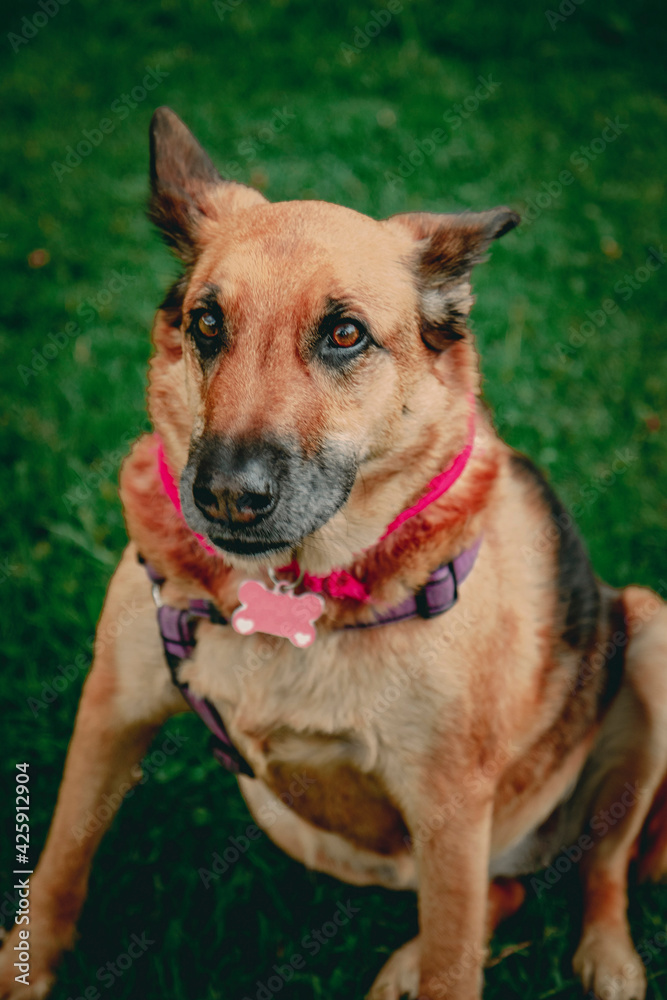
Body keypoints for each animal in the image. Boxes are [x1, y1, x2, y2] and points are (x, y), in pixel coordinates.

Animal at [1, 105, 667, 996]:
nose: (226, 495)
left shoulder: (450, 810)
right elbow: (58, 866)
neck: (288, 598)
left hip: (647, 639)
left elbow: (458, 964)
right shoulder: (109, 712)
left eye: (345, 334)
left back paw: (605, 956)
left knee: (596, 869)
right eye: (207, 323)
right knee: (508, 892)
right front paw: (22, 968)